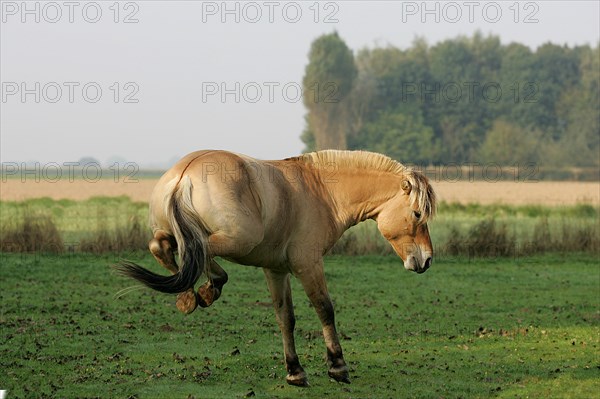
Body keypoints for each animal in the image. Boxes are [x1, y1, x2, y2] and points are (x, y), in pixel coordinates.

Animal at [117, 148, 436, 386]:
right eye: (417, 213)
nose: (427, 260)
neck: (320, 191)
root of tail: (185, 174)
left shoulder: (276, 270)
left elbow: (286, 318)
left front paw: (295, 371)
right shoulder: (308, 265)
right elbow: (324, 309)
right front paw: (337, 366)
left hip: (180, 233)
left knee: (162, 246)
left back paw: (190, 296)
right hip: (239, 240)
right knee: (197, 249)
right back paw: (208, 289)